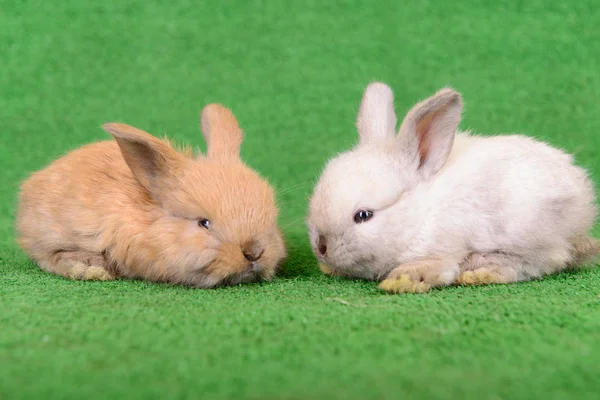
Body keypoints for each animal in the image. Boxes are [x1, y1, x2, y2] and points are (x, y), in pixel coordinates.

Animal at [308, 82, 596, 294]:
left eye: (364, 215)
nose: (321, 248)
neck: (420, 215)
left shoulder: (444, 249)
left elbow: (437, 267)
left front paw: (401, 281)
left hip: (529, 233)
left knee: (544, 261)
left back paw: (481, 271)